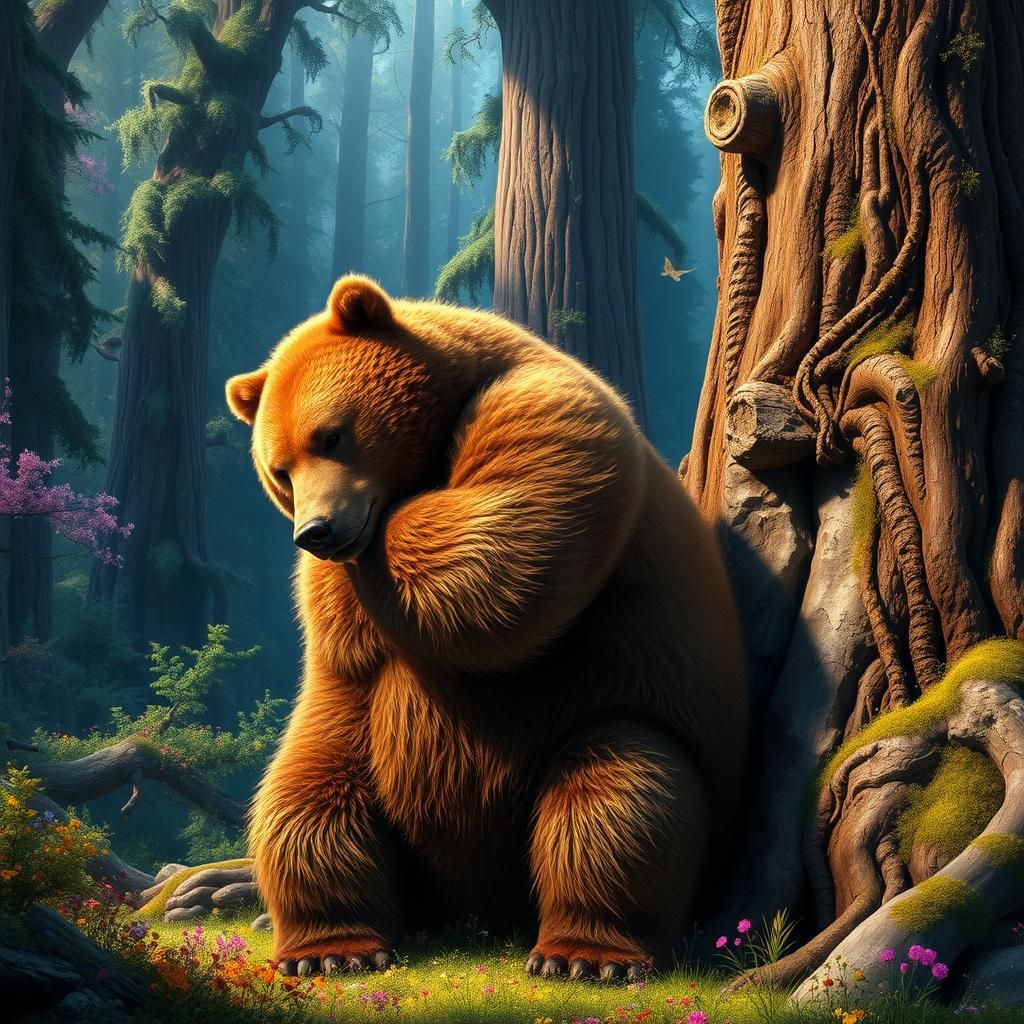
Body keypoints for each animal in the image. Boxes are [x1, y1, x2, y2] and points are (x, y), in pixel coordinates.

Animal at [226, 276, 747, 981]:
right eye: (279, 468)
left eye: (331, 435)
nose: (319, 530)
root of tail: (477, 904)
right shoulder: (330, 600)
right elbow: (356, 642)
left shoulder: (544, 413)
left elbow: (495, 548)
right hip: (355, 755)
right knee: (306, 806)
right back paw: (333, 948)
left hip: (619, 711)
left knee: (622, 789)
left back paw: (587, 954)